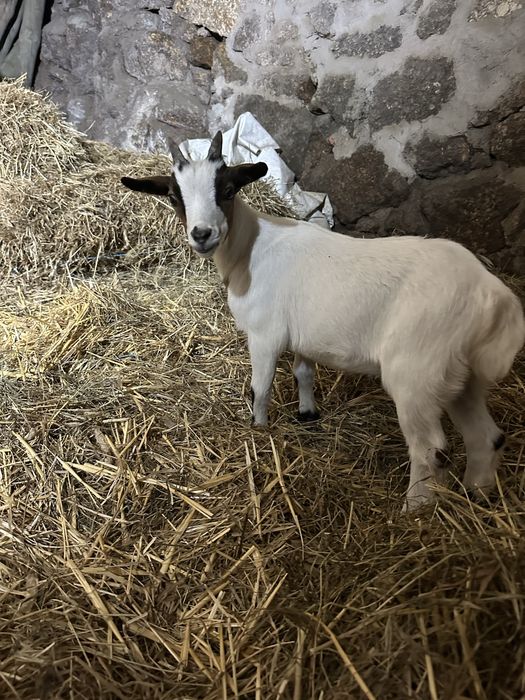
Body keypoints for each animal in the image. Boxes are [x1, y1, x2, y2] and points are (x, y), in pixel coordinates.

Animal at [121, 131, 525, 511]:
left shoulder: (264, 334)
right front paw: (307, 413)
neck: (249, 247)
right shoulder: (304, 335)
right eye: (174, 196)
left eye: (228, 189)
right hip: (462, 376)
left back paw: (414, 509)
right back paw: (478, 494)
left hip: (416, 373)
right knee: (487, 436)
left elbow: (260, 388)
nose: (202, 234)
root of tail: (493, 295)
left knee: (430, 448)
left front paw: (259, 430)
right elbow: (304, 372)